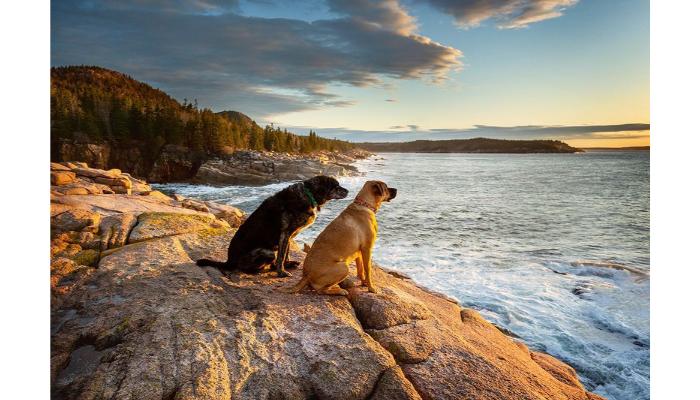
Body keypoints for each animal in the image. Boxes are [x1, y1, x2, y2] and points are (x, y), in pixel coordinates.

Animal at [196, 177, 348, 276]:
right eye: (336, 186)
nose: (347, 191)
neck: (309, 194)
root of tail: (229, 261)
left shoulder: (289, 236)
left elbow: (286, 253)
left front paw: (287, 265)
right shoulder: (285, 233)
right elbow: (281, 255)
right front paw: (281, 272)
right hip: (266, 252)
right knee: (244, 267)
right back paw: (258, 271)